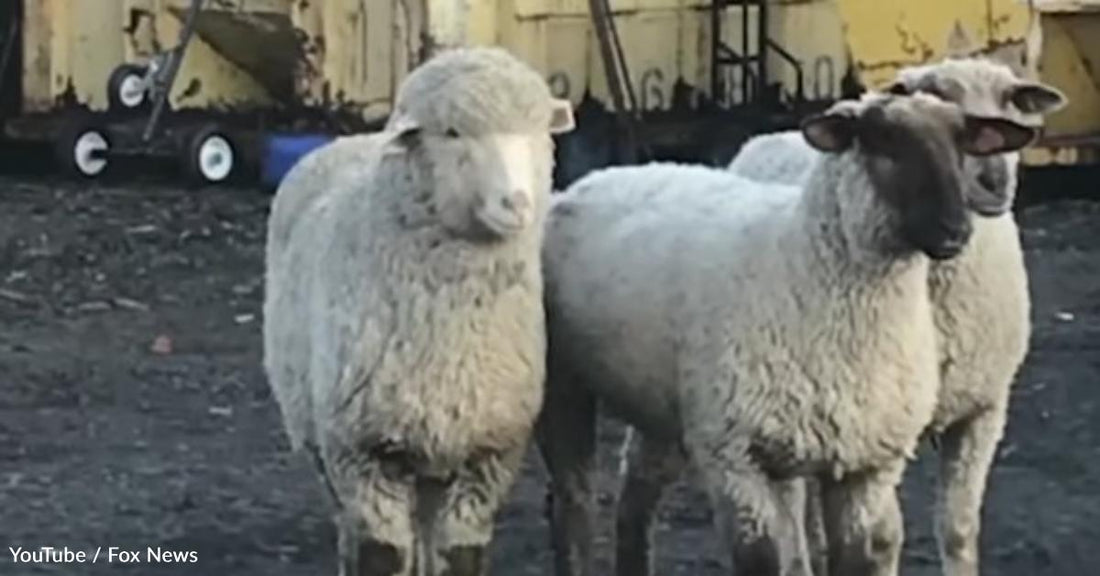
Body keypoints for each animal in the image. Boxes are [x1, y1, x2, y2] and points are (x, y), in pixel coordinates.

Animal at [263, 46, 575, 576]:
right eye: (451, 132)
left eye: (539, 130)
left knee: (425, 533)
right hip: (317, 432)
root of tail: (350, 139)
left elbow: (461, 556)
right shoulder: (362, 450)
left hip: (433, 453)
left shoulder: (487, 455)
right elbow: (381, 554)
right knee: (349, 522)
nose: (516, 203)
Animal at [537, 91, 1038, 576]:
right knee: (573, 502)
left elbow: (854, 561)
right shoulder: (734, 457)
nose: (957, 230)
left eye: (961, 144)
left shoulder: (866, 465)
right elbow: (760, 561)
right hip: (566, 387)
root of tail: (600, 176)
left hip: (663, 403)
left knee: (636, 494)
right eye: (884, 142)